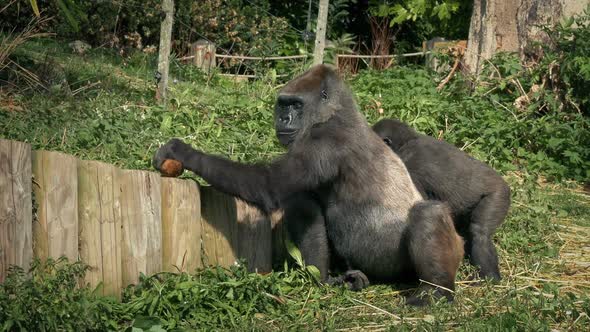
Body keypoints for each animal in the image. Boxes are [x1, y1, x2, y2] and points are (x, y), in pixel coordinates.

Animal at [154, 65, 468, 306]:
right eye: (283, 104)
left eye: (296, 105)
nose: (284, 118)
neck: (337, 111)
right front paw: (324, 277)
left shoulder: (324, 142)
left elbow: (267, 185)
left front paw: (184, 153)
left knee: (428, 214)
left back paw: (436, 291)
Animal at [376, 118, 512, 282]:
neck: (409, 140)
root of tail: (506, 185)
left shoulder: (409, 164)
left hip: (499, 195)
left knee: (481, 232)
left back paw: (489, 276)